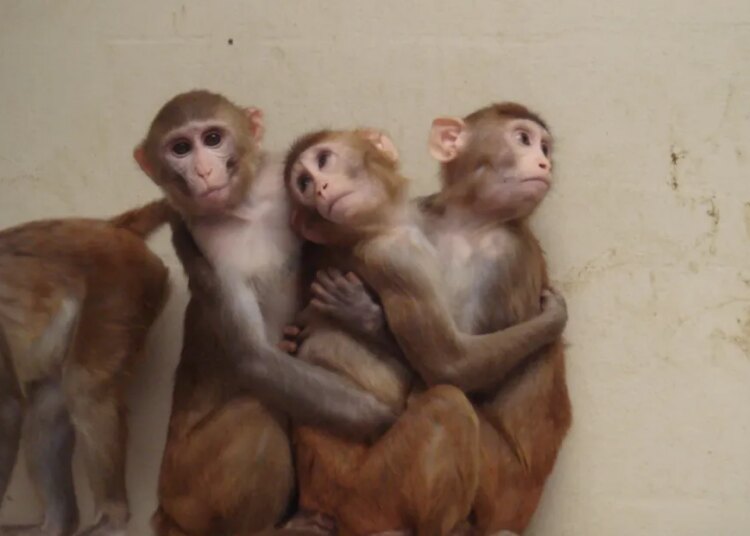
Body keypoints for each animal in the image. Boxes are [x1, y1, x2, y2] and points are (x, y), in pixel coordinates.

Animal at [0, 199, 171, 536]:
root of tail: (112, 226)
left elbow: (8, 410)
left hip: (119, 291)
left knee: (83, 388)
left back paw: (111, 518)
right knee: (48, 406)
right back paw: (57, 523)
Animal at [133, 90, 398, 536]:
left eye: (212, 138)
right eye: (180, 148)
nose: (204, 171)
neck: (247, 206)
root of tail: (164, 507)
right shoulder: (207, 243)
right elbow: (253, 357)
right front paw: (387, 416)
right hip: (191, 491)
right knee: (258, 408)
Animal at [279, 127, 568, 535]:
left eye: (322, 162)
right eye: (303, 183)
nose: (319, 187)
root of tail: (317, 502)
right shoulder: (398, 257)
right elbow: (450, 366)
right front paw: (553, 319)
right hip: (369, 496)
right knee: (446, 404)